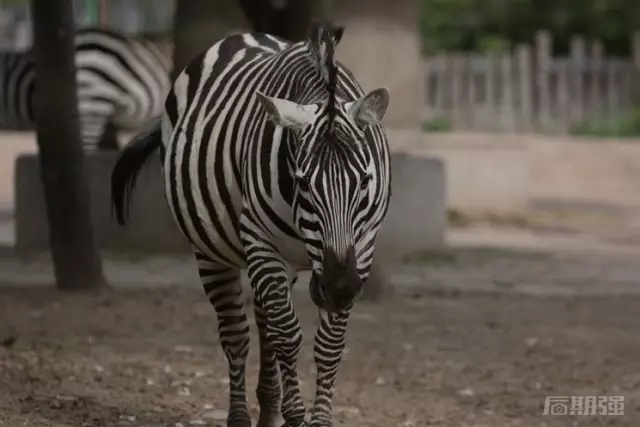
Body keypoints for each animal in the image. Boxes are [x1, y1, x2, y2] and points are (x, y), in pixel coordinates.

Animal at [111, 20, 390, 427]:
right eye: (303, 182)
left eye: (366, 181)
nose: (338, 289)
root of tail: (245, 35)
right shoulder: (261, 242)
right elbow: (288, 335)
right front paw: (295, 415)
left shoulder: (363, 246)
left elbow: (328, 344)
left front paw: (317, 418)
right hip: (214, 252)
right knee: (236, 333)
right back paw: (241, 415)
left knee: (263, 325)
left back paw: (268, 409)